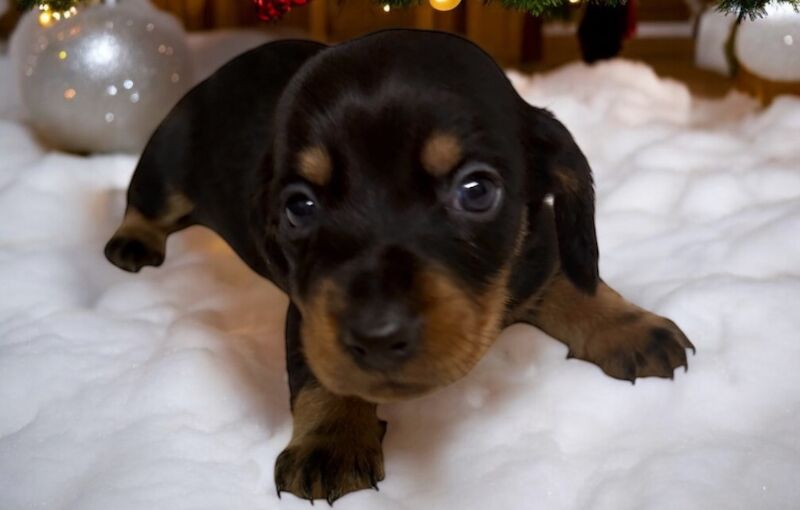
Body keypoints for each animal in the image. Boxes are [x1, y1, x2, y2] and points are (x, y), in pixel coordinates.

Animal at [104, 29, 692, 504]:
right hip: (165, 164)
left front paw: (630, 327)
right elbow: (319, 370)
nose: (377, 337)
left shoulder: (540, 248)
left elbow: (575, 281)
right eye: (299, 206)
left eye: (476, 190)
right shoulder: (308, 310)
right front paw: (332, 438)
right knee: (143, 205)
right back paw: (131, 242)